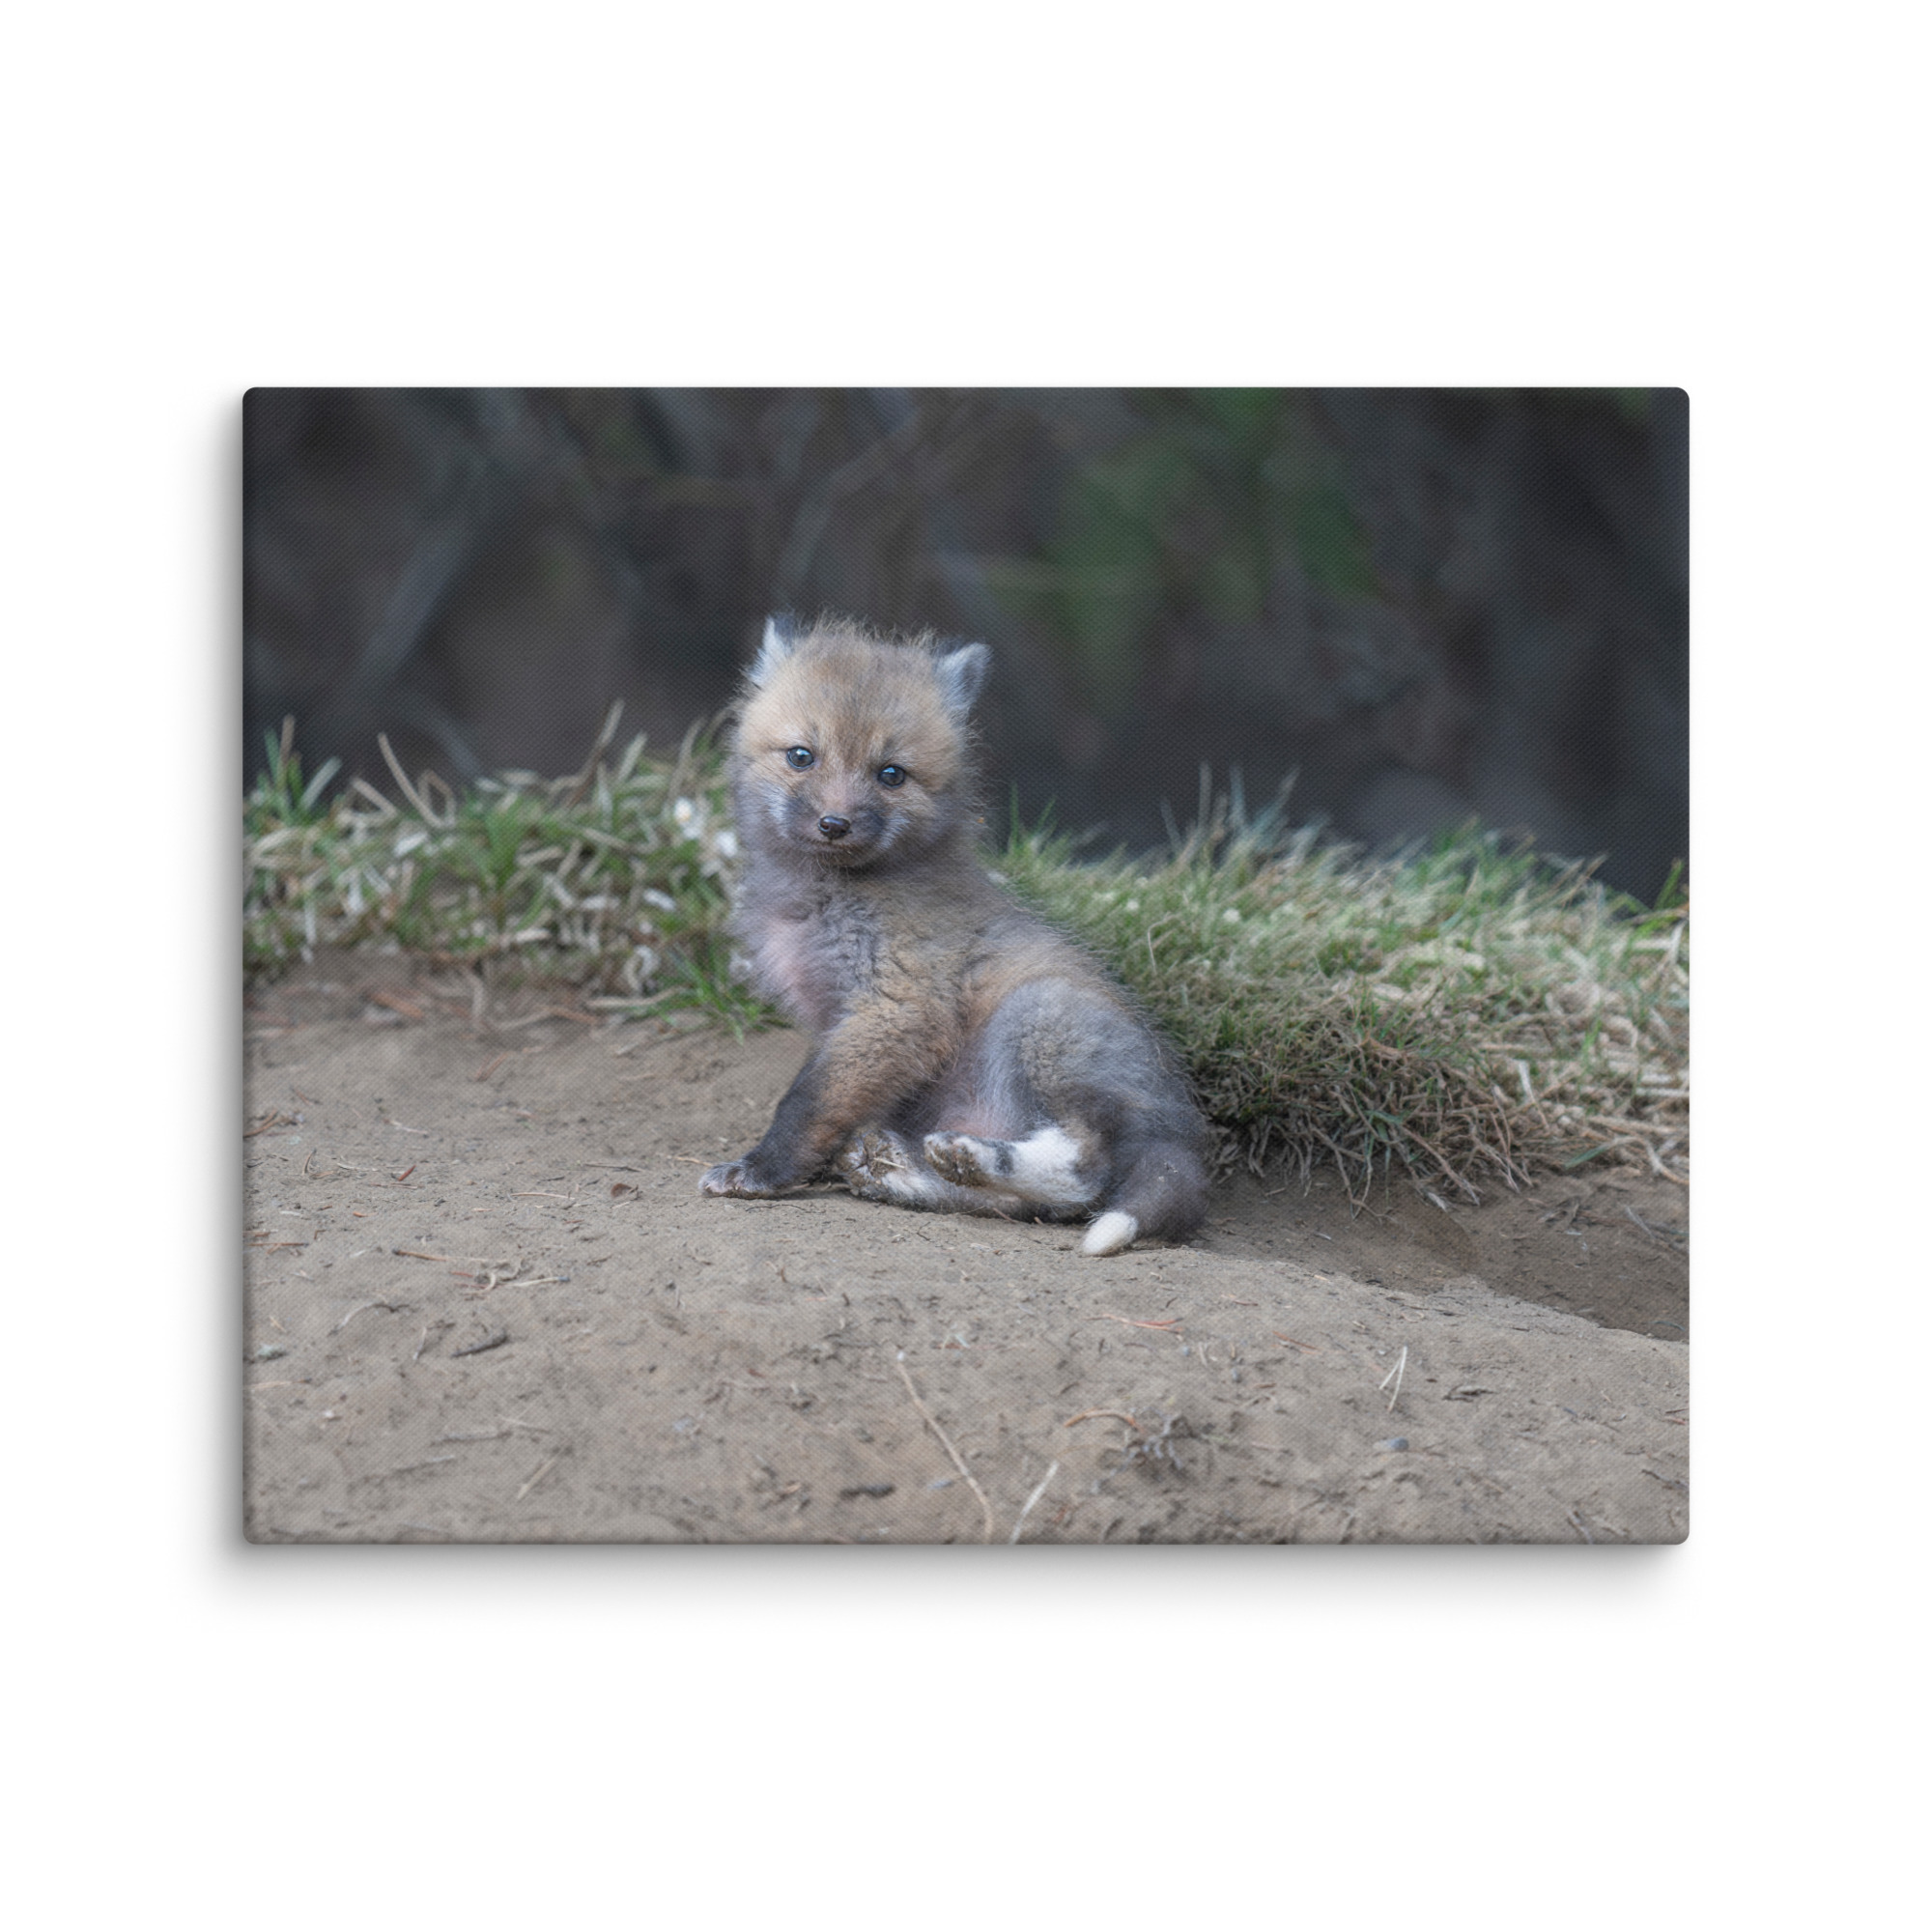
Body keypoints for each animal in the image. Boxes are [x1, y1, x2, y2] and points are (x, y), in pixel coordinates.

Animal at [698, 614, 1210, 1256]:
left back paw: (970, 1157)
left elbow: (807, 1103)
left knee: (1084, 1173)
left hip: (1037, 1017)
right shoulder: (842, 1021)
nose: (834, 824)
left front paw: (762, 1171)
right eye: (801, 756)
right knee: (1023, 1206)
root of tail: (1181, 1132)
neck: (825, 898)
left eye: (891, 774)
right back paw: (906, 1170)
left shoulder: (897, 1006)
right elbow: (831, 1102)